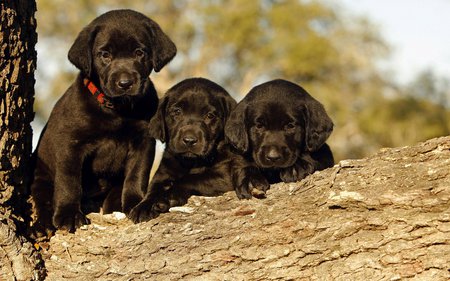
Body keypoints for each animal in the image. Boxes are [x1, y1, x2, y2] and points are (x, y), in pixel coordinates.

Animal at [30, 9, 176, 234]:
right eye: (105, 55)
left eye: (139, 52)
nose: (125, 83)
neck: (117, 110)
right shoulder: (70, 144)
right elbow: (69, 182)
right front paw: (68, 214)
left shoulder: (143, 142)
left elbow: (137, 175)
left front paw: (136, 203)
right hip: (41, 175)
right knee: (43, 197)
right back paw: (44, 224)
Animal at [130, 77, 270, 222]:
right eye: (177, 111)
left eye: (210, 115)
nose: (189, 140)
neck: (192, 162)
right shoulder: (163, 173)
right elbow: (153, 189)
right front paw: (143, 206)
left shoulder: (224, 175)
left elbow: (190, 179)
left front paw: (167, 198)